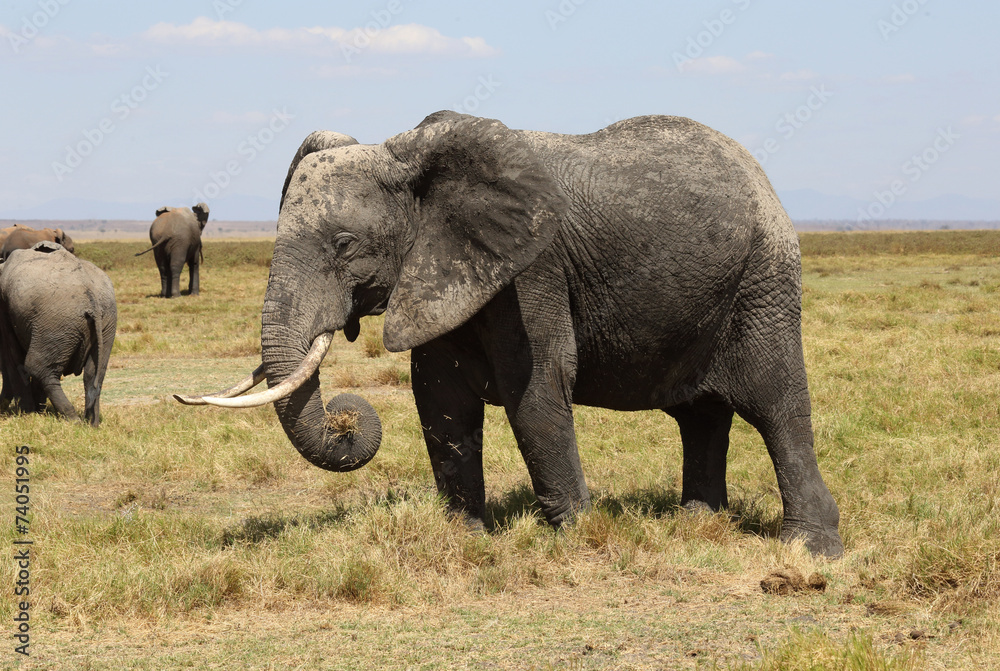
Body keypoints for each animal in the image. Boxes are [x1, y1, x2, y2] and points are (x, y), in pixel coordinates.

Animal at [0, 242, 117, 426]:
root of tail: (91, 296)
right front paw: (35, 411)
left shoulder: (5, 308)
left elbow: (13, 359)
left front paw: (27, 414)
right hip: (106, 321)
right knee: (94, 373)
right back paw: (91, 423)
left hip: (55, 321)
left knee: (38, 367)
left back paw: (73, 420)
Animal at [178, 112, 844, 557]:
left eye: (344, 245)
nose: (346, 417)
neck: (408, 158)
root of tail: (762, 177)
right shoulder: (441, 270)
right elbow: (439, 400)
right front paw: (466, 537)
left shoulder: (532, 270)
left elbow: (537, 390)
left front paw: (578, 536)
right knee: (700, 415)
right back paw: (696, 526)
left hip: (763, 279)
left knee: (777, 403)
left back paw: (809, 549)